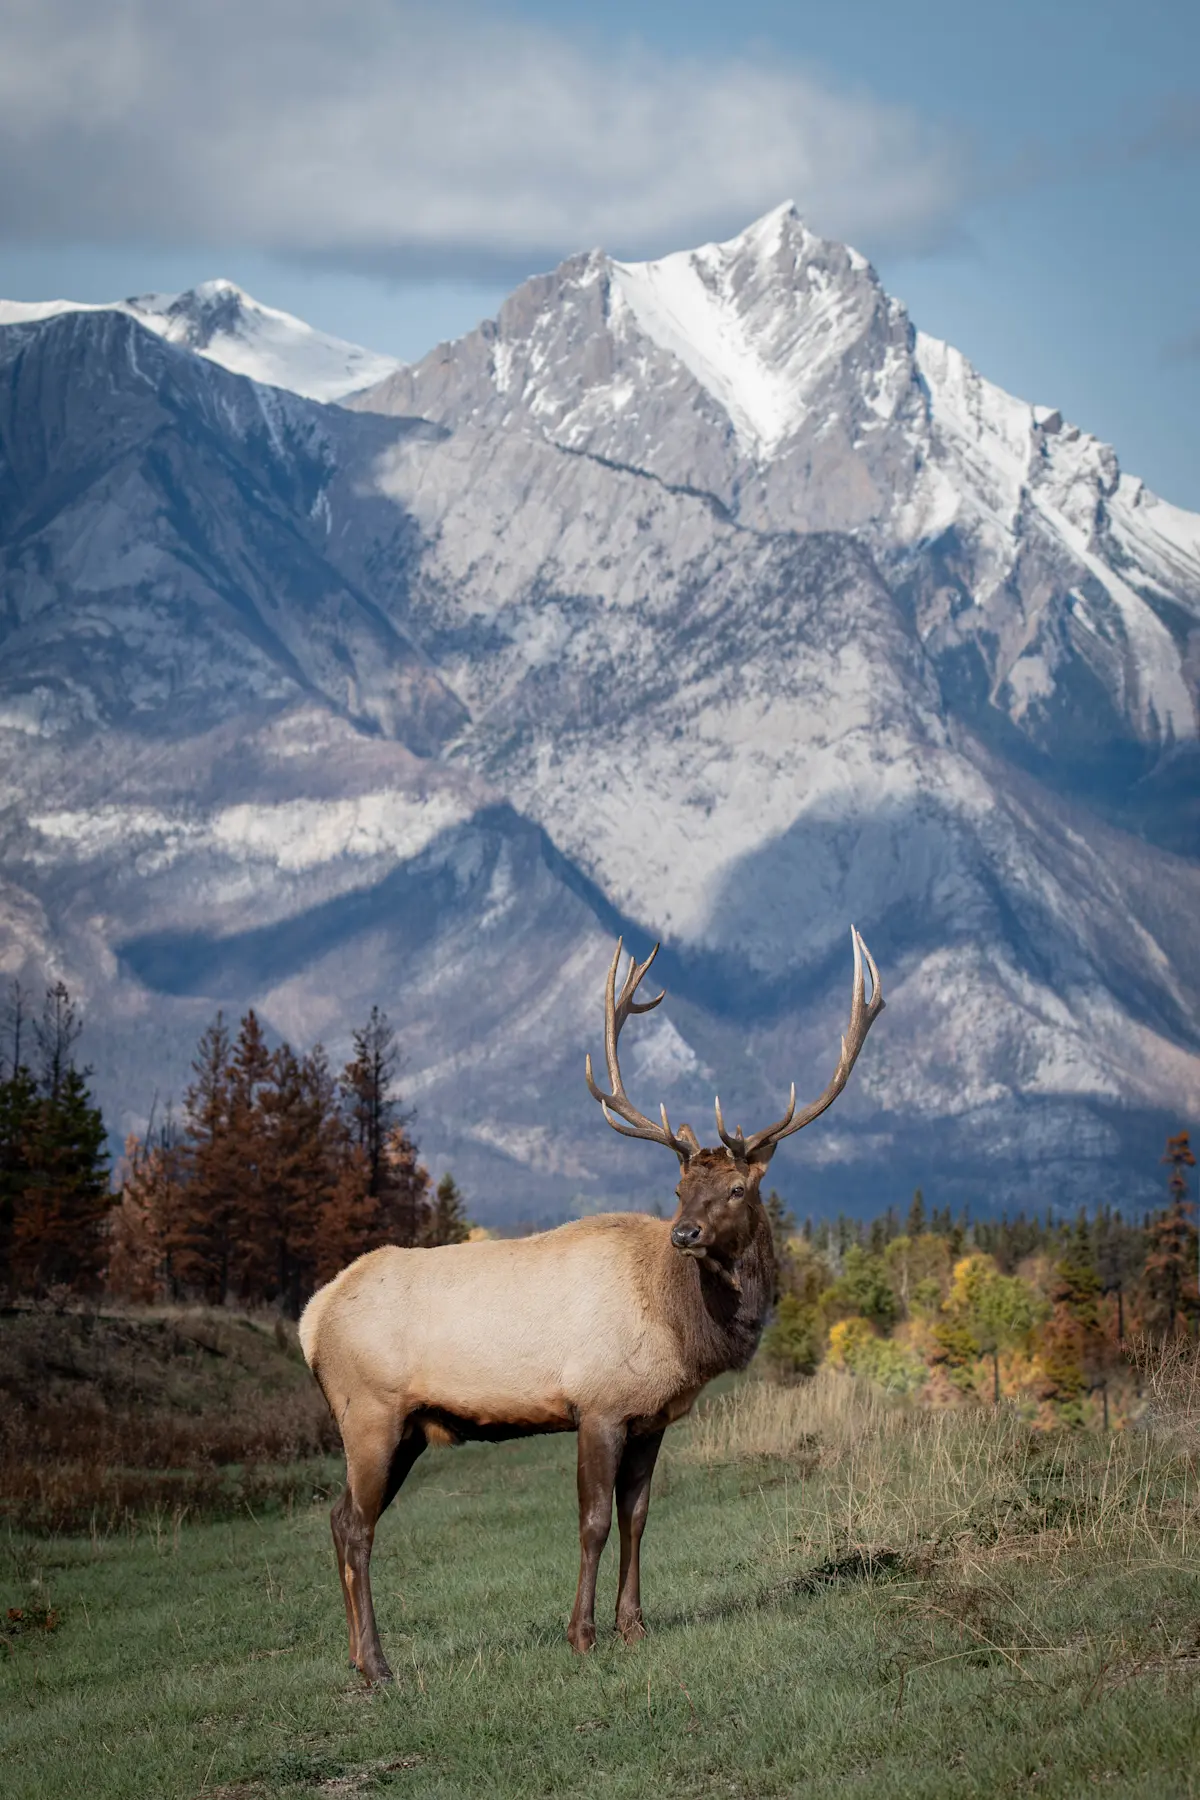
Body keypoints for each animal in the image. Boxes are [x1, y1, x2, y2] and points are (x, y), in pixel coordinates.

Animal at [299, 927, 883, 1682]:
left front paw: (633, 1626)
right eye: (678, 1191)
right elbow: (594, 1521)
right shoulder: (598, 1404)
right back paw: (376, 1666)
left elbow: (637, 1516)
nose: (684, 1234)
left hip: (403, 1429)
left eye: (736, 1191)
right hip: (368, 1413)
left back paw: (359, 1662)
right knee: (354, 1523)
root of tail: (311, 1320)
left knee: (342, 1518)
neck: (682, 1327)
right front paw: (581, 1634)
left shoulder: (652, 1416)